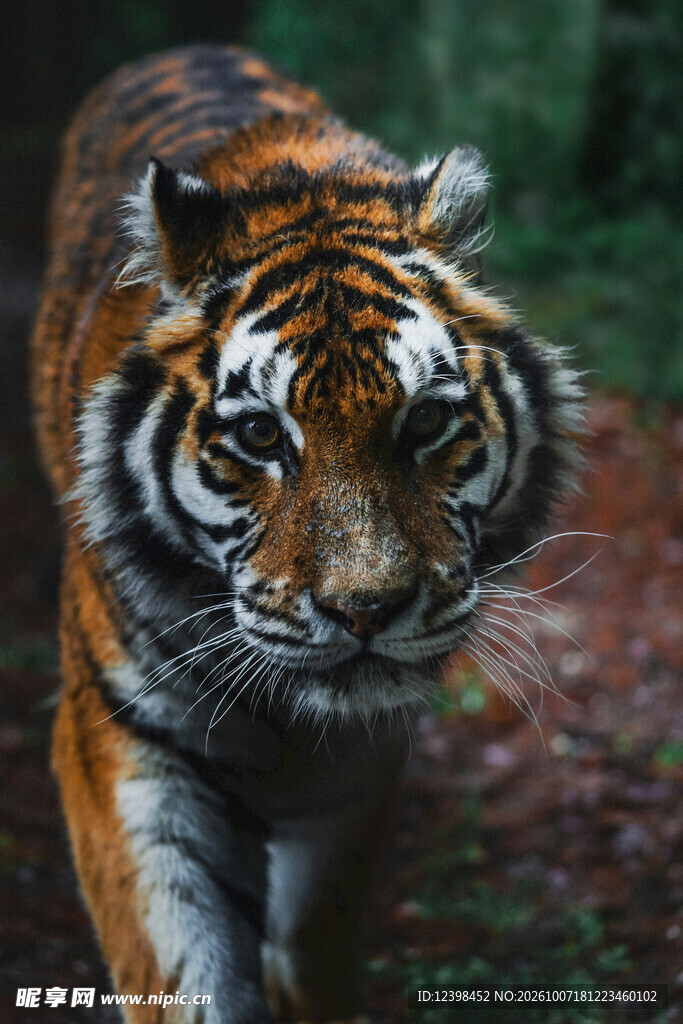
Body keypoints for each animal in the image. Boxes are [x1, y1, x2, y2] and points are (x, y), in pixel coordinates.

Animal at [31, 43, 583, 1024]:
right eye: (260, 435)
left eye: (425, 422)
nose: (365, 611)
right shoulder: (124, 741)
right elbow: (182, 965)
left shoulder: (357, 766)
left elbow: (313, 935)